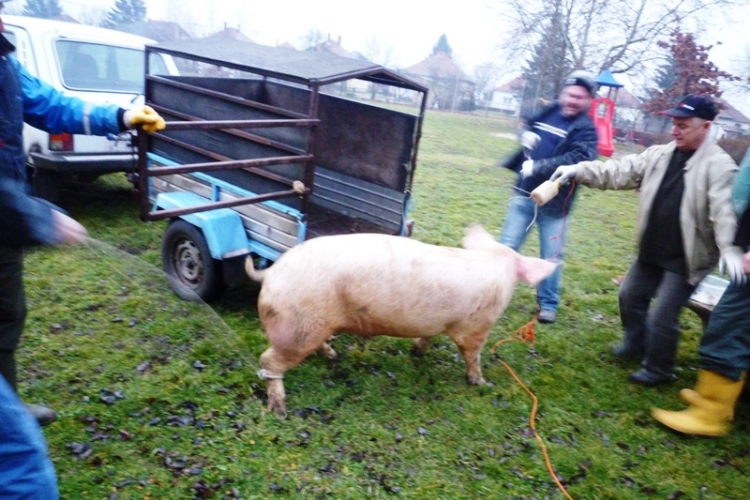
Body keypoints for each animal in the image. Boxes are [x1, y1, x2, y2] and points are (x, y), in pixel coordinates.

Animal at [247, 225, 560, 416]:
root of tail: (271, 273)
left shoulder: (439, 323)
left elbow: (429, 335)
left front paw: (416, 352)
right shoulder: (476, 326)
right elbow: (473, 354)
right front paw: (482, 384)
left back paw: (333, 355)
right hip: (297, 326)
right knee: (268, 361)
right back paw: (279, 410)